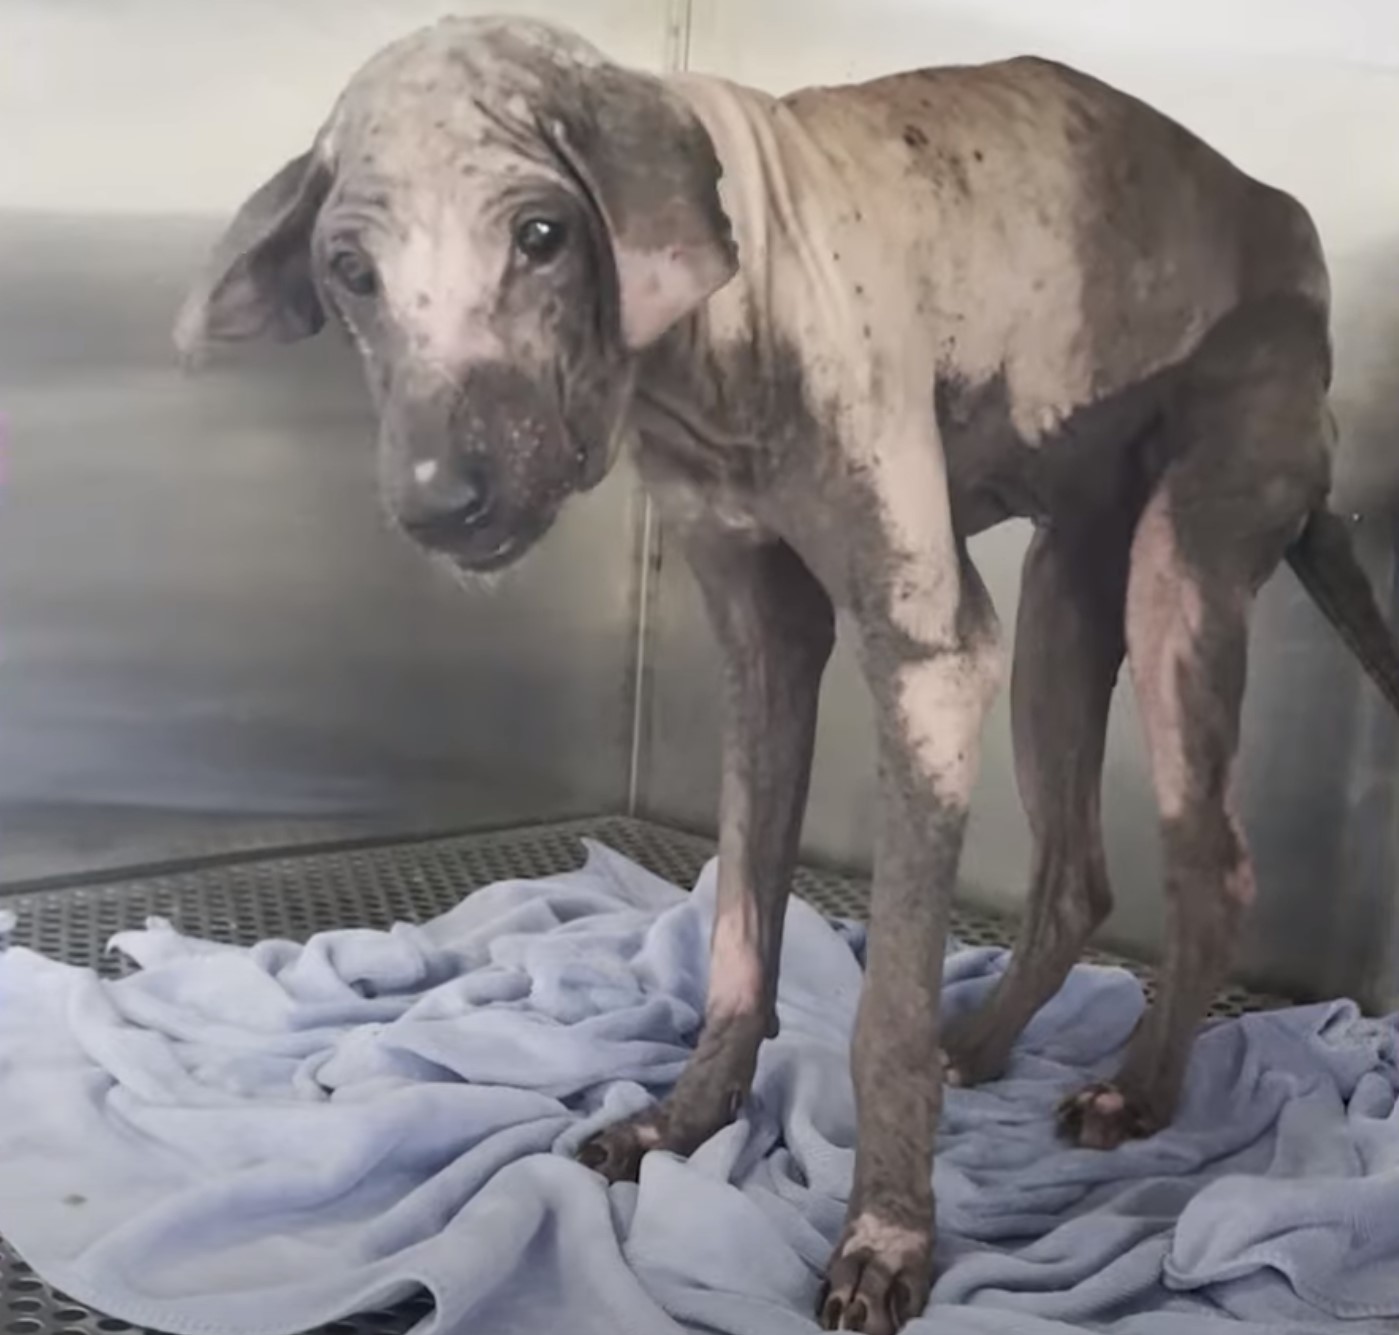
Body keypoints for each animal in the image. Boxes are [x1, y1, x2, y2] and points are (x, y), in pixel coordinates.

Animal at [172, 15, 1399, 1326]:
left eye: (542, 234)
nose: (437, 505)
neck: (711, 344)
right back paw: (990, 1041)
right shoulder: (763, 648)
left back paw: (1142, 1087)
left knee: (1209, 865)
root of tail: (1279, 213)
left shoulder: (924, 655)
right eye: (350, 271)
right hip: (1064, 607)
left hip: (1176, 578)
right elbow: (736, 937)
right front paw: (682, 1120)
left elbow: (883, 1012)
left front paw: (887, 1235)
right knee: (1074, 875)